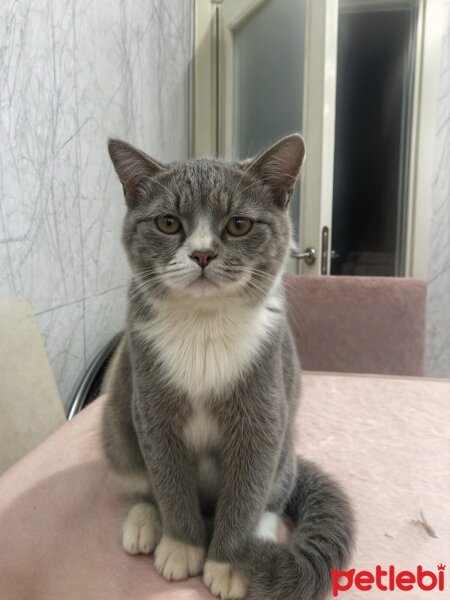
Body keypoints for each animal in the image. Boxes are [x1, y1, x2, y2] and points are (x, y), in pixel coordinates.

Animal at [102, 136, 356, 600]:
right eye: (168, 222)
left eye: (239, 224)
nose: (202, 253)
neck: (204, 327)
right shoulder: (151, 406)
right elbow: (168, 479)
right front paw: (182, 547)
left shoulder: (264, 409)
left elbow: (247, 490)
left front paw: (229, 563)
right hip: (117, 424)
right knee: (142, 481)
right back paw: (145, 523)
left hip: (286, 445)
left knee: (274, 494)